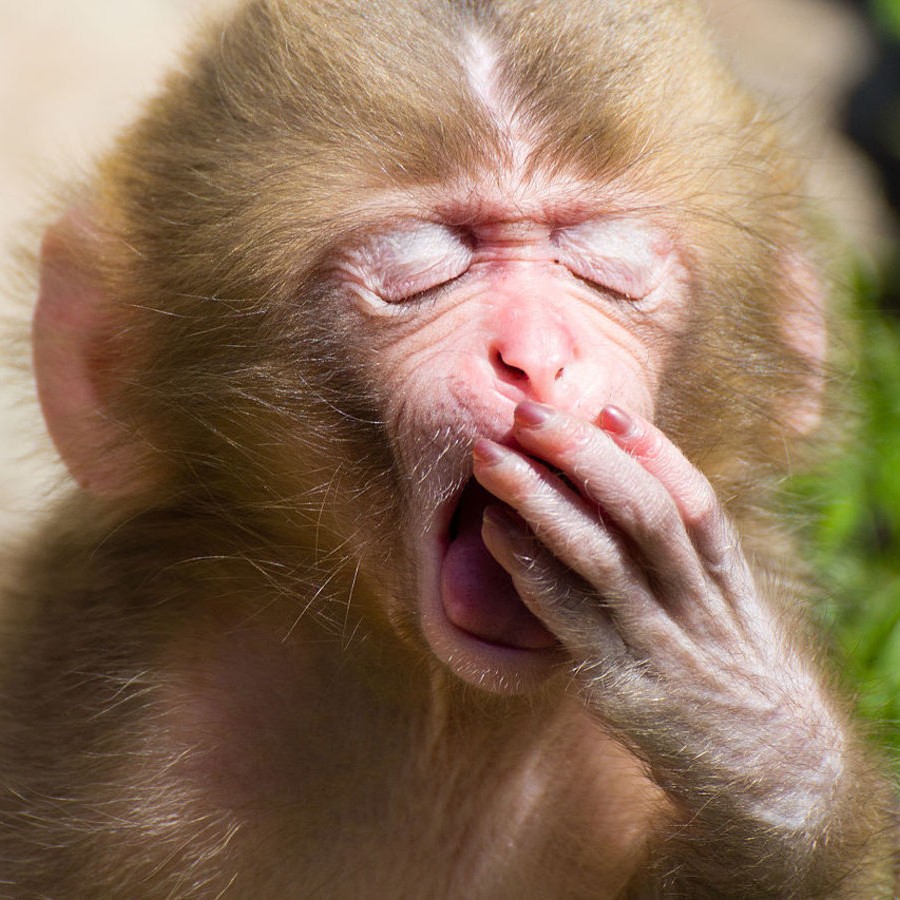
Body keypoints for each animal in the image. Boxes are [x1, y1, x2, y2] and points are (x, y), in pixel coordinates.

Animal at [0, 0, 896, 895]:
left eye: (607, 266)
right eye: (424, 269)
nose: (534, 354)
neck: (452, 713)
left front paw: (748, 727)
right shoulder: (128, 726)